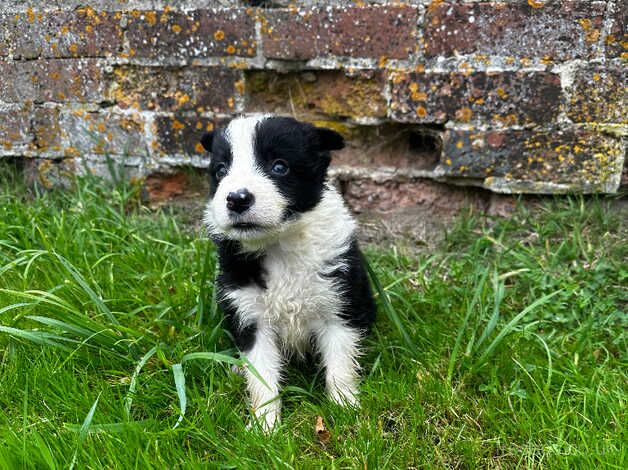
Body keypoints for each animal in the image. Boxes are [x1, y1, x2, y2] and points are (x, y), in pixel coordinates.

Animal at [201, 115, 376, 432]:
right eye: (220, 171)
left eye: (279, 167)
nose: (236, 198)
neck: (280, 244)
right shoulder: (250, 317)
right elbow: (262, 378)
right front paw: (265, 427)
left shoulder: (338, 306)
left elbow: (340, 363)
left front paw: (345, 408)